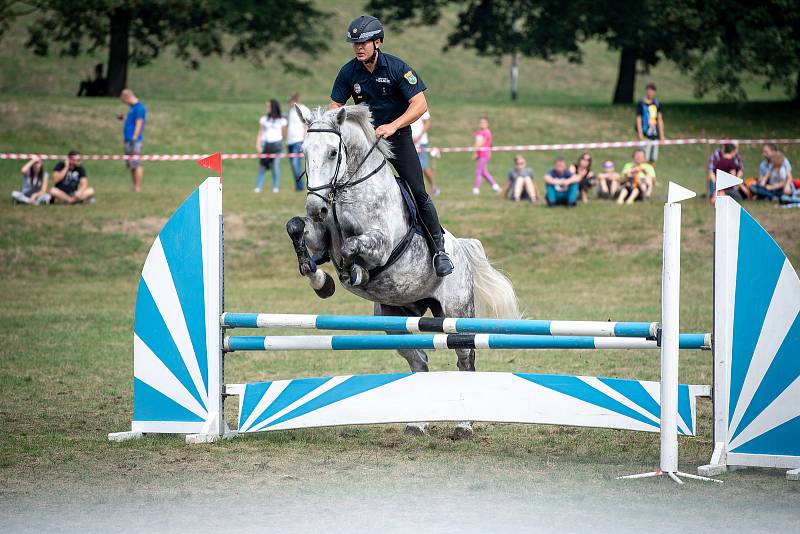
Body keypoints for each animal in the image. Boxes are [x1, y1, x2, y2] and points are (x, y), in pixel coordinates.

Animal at [288, 105, 520, 440]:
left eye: (333, 152)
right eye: (304, 151)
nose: (315, 209)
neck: (349, 191)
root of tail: (462, 252)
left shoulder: (381, 244)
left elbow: (352, 247)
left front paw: (353, 274)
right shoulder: (320, 235)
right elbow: (297, 228)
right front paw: (320, 279)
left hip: (456, 315)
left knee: (465, 360)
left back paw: (464, 426)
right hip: (394, 320)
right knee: (419, 361)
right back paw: (416, 424)